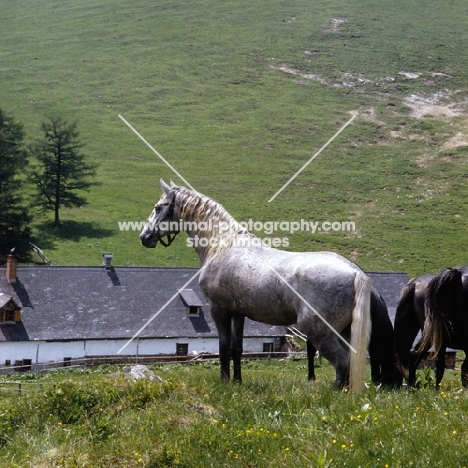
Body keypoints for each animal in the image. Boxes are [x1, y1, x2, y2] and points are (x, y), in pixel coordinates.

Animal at [141, 179, 372, 392]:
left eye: (158, 207)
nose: (144, 237)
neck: (223, 245)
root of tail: (354, 272)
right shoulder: (238, 313)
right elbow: (237, 349)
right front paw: (237, 381)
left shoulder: (220, 311)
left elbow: (224, 348)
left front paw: (224, 383)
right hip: (344, 332)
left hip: (319, 332)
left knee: (342, 362)